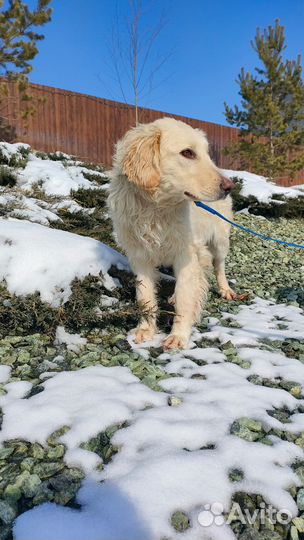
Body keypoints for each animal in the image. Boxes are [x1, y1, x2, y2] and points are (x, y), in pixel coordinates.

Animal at [108, 117, 236, 350]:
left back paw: (225, 289)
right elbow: (145, 296)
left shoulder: (187, 255)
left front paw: (179, 335)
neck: (156, 209)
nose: (230, 186)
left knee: (219, 266)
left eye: (207, 153)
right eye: (188, 153)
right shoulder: (140, 258)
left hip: (220, 242)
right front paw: (145, 329)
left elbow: (186, 299)